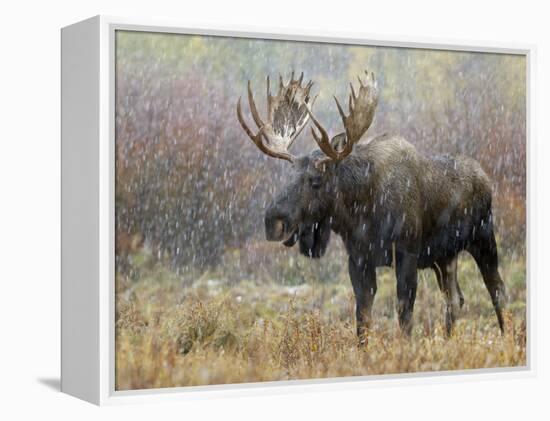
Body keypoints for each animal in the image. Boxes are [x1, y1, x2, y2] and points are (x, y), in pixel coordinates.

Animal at [237, 70, 508, 340]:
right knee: (455, 299)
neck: (361, 212)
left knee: (498, 291)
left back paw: (507, 337)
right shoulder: (359, 258)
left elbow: (404, 313)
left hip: (483, 238)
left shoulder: (407, 252)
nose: (273, 221)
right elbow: (363, 317)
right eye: (289, 175)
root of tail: (485, 178)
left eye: (316, 180)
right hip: (444, 257)